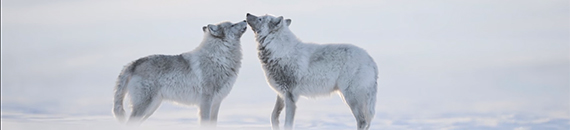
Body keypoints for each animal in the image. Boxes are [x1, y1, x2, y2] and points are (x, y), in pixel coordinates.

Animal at [112, 20, 245, 127]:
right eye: (233, 25)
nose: (245, 19)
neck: (219, 58)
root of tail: (133, 64)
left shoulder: (216, 103)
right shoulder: (206, 101)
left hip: (151, 108)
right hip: (145, 107)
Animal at [245, 13, 374, 130]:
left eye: (260, 18)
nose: (247, 14)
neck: (279, 51)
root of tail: (371, 60)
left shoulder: (290, 97)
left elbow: (287, 124)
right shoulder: (281, 94)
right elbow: (273, 116)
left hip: (350, 98)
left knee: (362, 121)